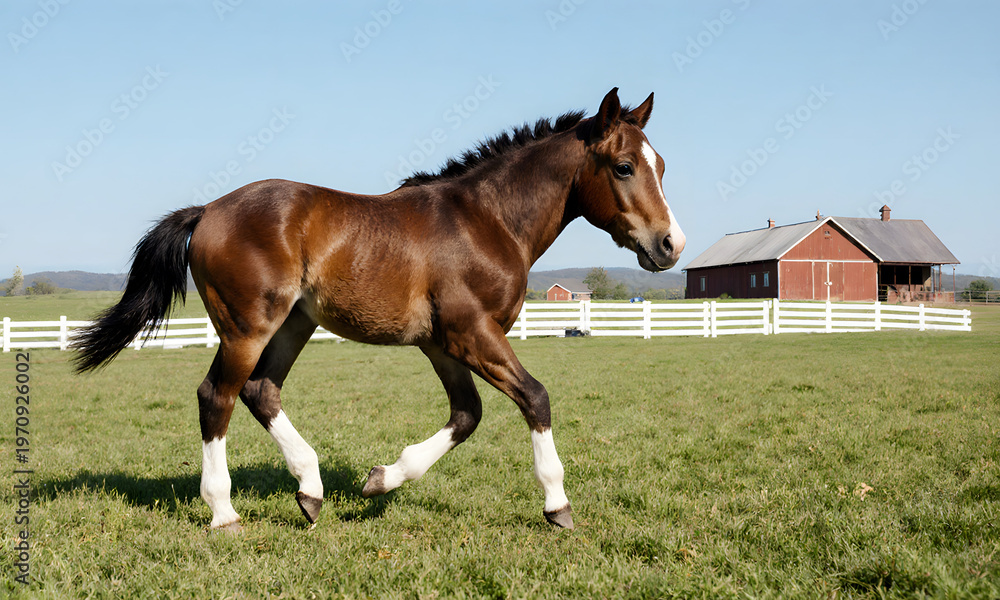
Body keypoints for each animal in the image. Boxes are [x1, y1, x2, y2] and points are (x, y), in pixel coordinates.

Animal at [73, 88, 686, 531]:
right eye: (624, 166)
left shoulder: (443, 344)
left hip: (293, 324)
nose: (670, 245)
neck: (486, 221)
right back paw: (224, 511)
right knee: (216, 397)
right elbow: (534, 397)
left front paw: (379, 481)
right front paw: (557, 505)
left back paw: (311, 490)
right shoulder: (472, 332)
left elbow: (467, 415)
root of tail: (208, 211)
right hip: (247, 327)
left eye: (661, 166)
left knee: (260, 391)